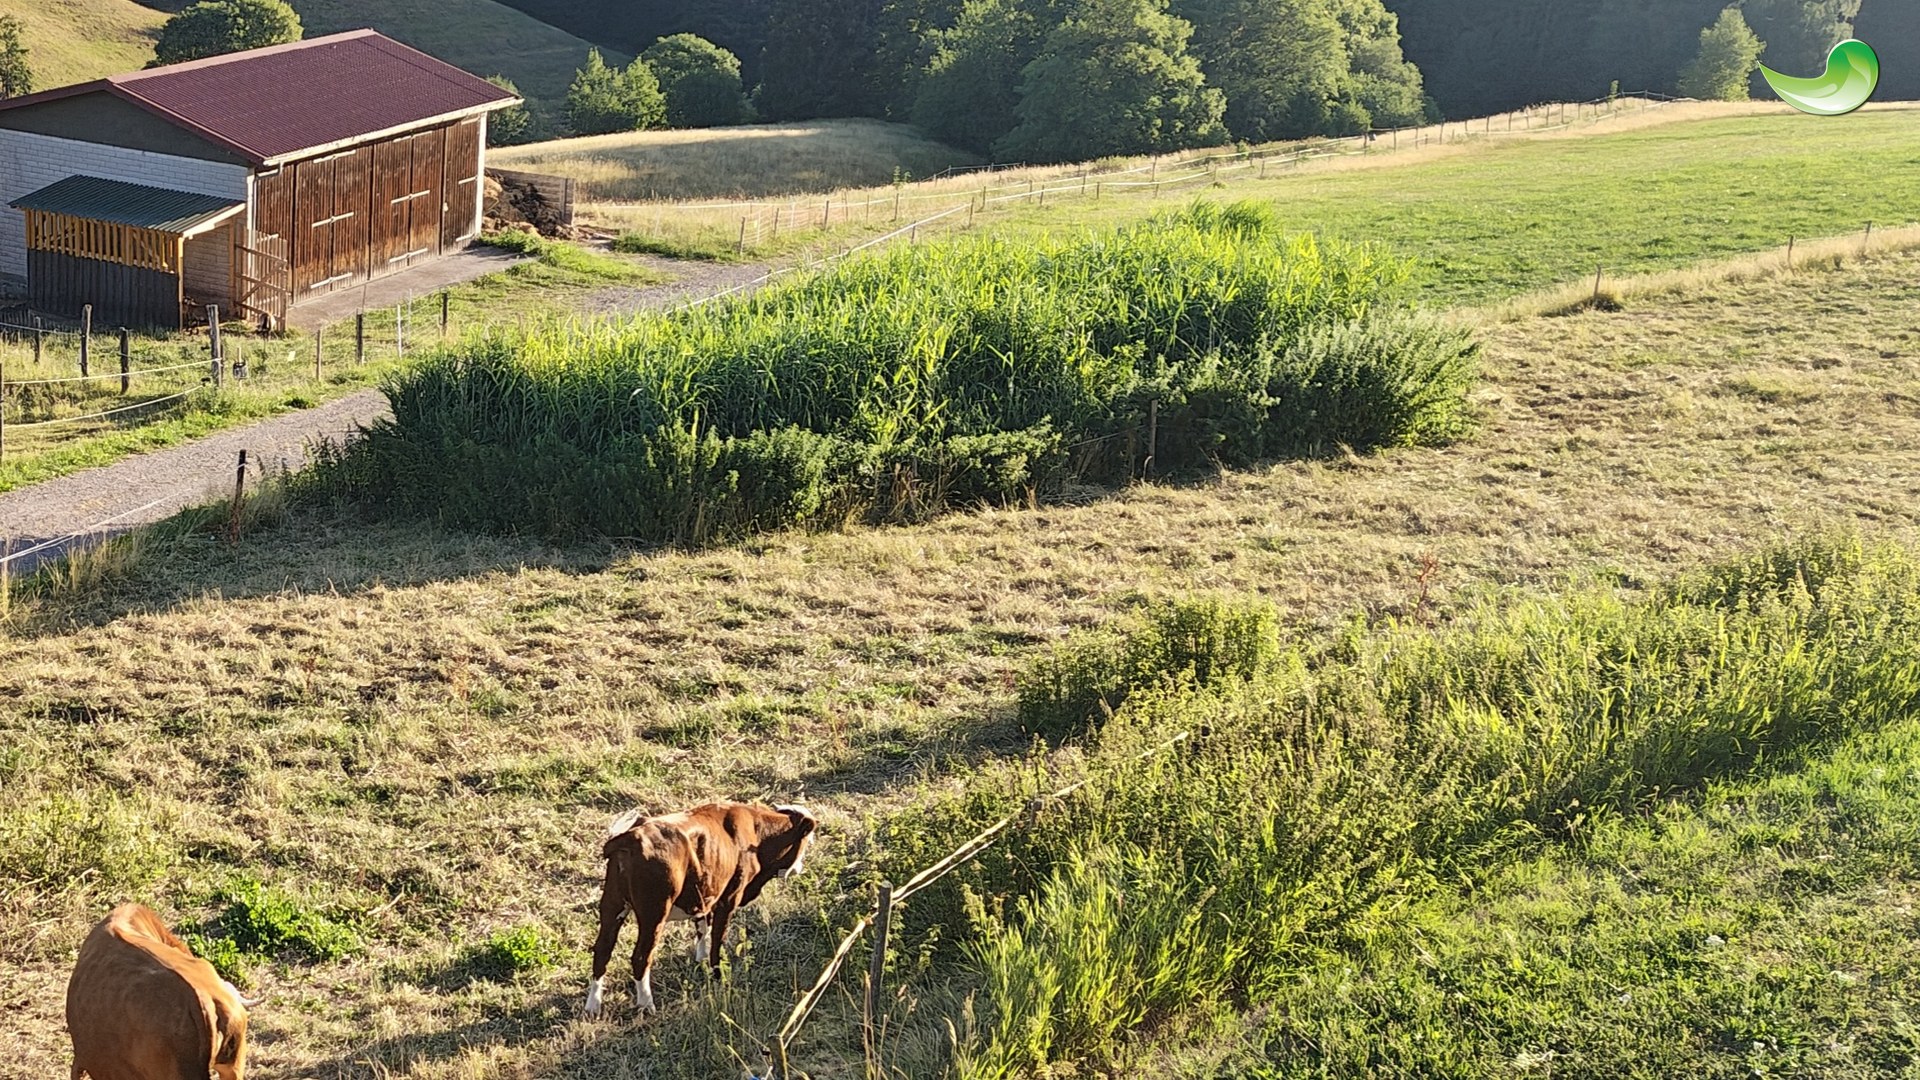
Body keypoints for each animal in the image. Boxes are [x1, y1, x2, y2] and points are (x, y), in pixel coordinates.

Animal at [584, 801, 817, 1018]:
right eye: (807, 841)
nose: (800, 868)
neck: (755, 832)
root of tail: (631, 836)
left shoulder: (703, 895)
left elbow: (703, 928)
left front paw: (701, 960)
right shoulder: (728, 900)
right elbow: (717, 939)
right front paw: (717, 974)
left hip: (611, 905)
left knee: (602, 951)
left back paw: (593, 1006)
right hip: (654, 913)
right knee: (641, 957)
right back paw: (646, 1004)